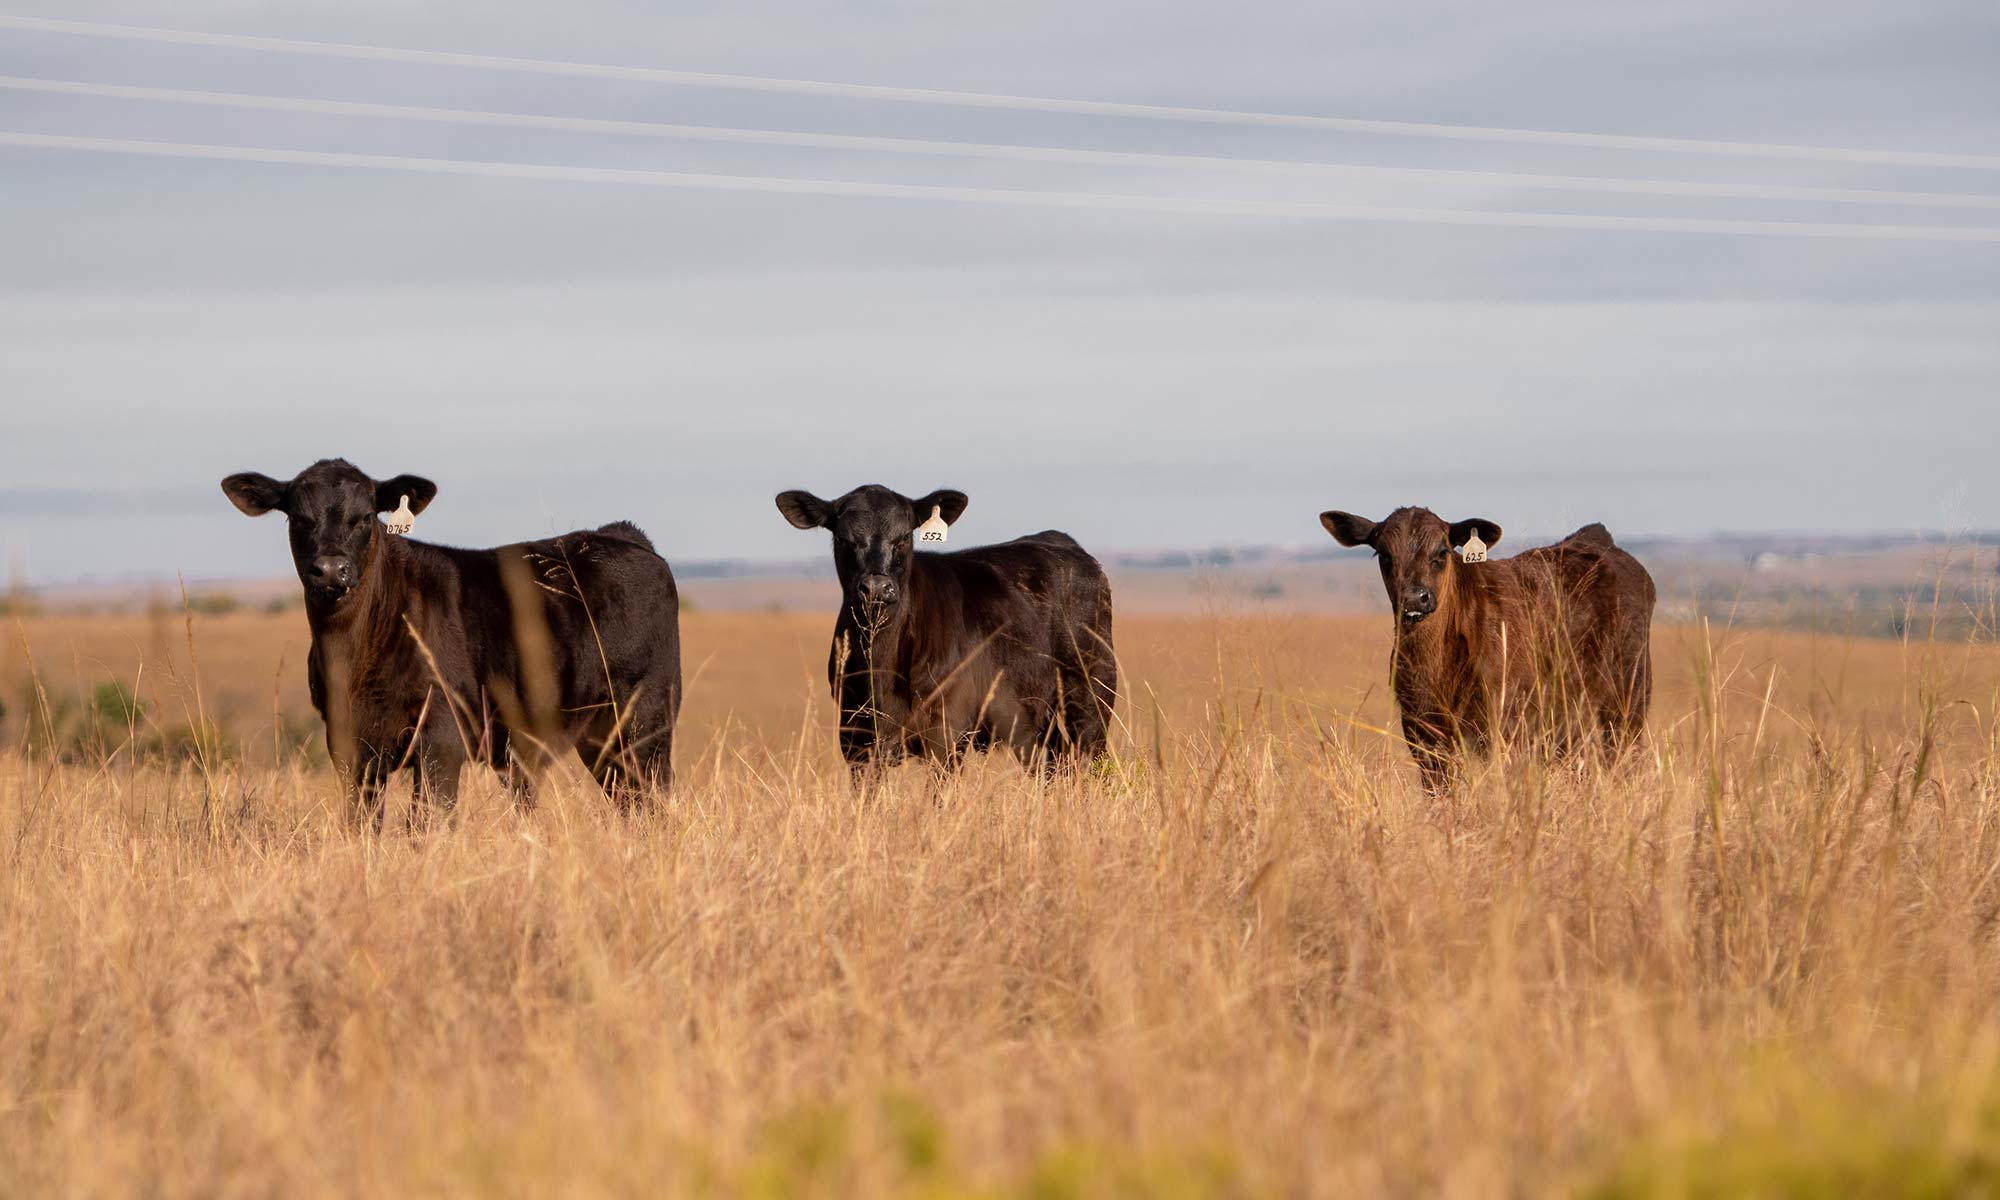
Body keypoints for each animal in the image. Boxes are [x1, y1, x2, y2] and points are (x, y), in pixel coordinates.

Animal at [222, 454, 680, 820]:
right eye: (298, 517)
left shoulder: (442, 739)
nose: (331, 570)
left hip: (644, 723)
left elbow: (426, 824)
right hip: (600, 739)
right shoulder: (350, 746)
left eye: (365, 516)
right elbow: (362, 824)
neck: (352, 659)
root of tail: (619, 534)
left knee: (651, 802)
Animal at [1312, 504, 1656, 792]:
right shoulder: (1423, 735)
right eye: (1384, 555)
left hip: (1627, 706)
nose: (1414, 598)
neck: (1435, 669)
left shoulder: (1503, 728)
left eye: (1442, 552)